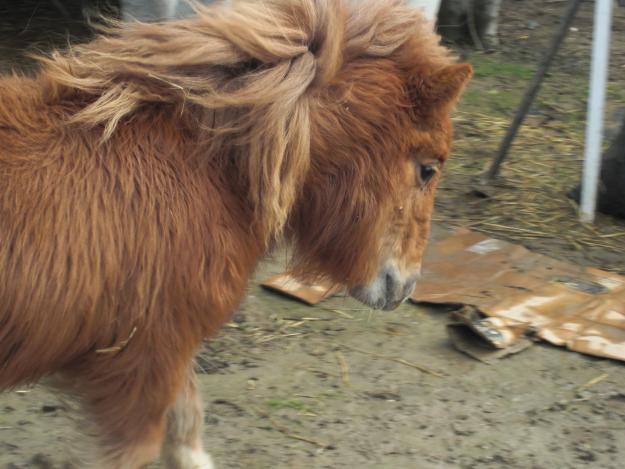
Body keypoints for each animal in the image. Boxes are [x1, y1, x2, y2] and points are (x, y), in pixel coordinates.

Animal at [0, 1, 468, 466]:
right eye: (428, 169)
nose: (403, 287)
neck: (203, 171)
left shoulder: (161, 356)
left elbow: (186, 426)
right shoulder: (142, 365)